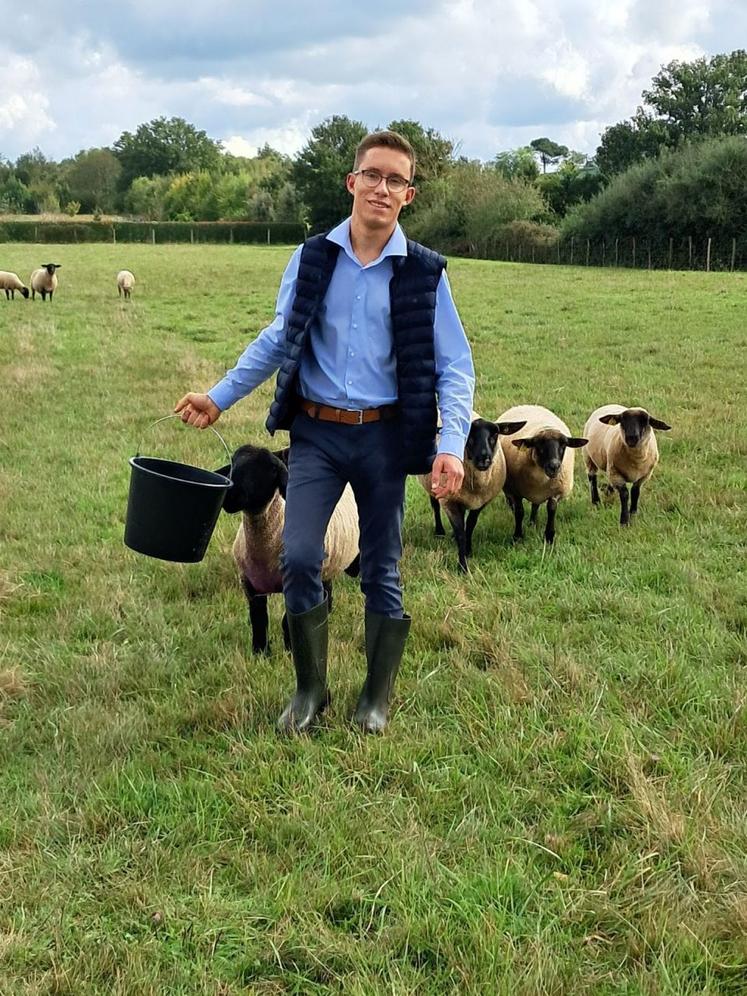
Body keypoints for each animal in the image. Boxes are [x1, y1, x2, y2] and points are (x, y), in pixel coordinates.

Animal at [215, 444, 360, 652]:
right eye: (233, 462)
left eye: (268, 469)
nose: (229, 495)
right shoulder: (250, 586)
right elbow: (258, 620)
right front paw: (261, 652)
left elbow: (287, 621)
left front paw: (290, 649)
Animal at [418, 410, 528, 568]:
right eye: (469, 434)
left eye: (495, 434)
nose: (484, 459)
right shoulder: (449, 501)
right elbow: (460, 533)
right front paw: (462, 566)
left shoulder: (481, 502)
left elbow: (470, 526)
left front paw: (468, 551)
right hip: (434, 483)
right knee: (435, 506)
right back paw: (439, 532)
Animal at [496, 402, 592, 544]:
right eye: (538, 444)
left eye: (564, 444)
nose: (554, 466)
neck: (542, 477)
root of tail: (527, 405)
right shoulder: (515, 491)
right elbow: (519, 512)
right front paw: (517, 537)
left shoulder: (556, 491)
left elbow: (551, 509)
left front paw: (549, 537)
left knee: (535, 505)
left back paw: (532, 523)